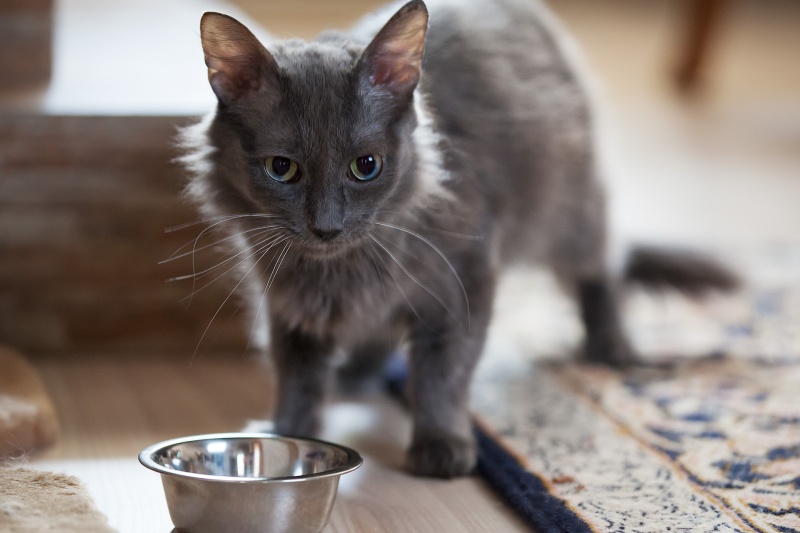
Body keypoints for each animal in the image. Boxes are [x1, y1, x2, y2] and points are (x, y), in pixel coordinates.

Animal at [181, 0, 736, 478]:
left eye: (366, 166)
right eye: (282, 169)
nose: (327, 226)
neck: (339, 267)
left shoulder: (461, 281)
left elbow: (443, 372)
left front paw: (441, 444)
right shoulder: (288, 305)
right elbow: (297, 378)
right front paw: (287, 435)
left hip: (570, 207)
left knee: (601, 269)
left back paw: (611, 346)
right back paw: (356, 372)